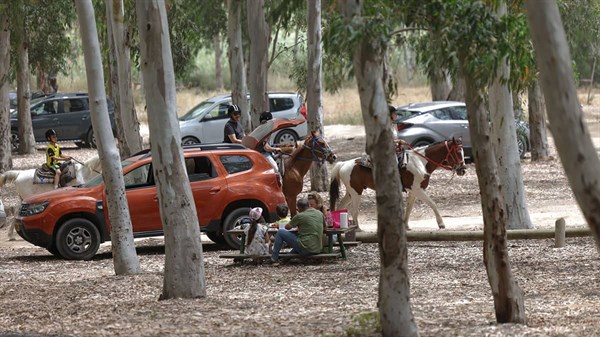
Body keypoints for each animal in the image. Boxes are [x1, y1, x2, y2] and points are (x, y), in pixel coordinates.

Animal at [330, 138, 466, 230]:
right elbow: (432, 203)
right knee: (354, 211)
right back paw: (358, 228)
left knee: (340, 207)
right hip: (356, 192)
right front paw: (441, 223)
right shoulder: (418, 189)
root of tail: (343, 164)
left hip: (351, 192)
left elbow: (409, 208)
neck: (420, 162)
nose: (463, 170)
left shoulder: (414, 190)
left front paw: (406, 225)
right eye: (458, 151)